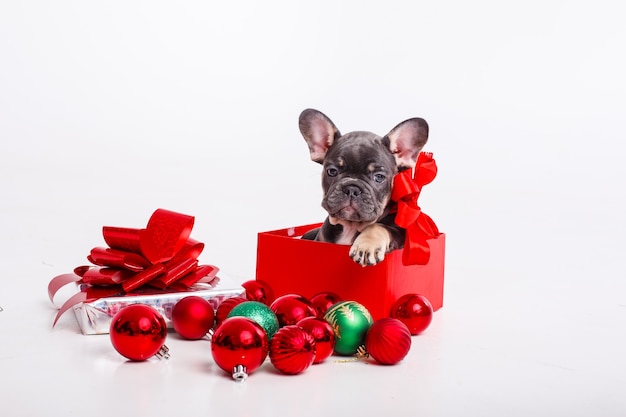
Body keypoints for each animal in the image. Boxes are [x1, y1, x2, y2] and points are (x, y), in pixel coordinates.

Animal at [298, 109, 426, 264]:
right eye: (332, 171)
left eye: (379, 177)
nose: (352, 189)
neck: (350, 226)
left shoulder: (400, 233)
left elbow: (379, 226)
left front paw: (366, 245)